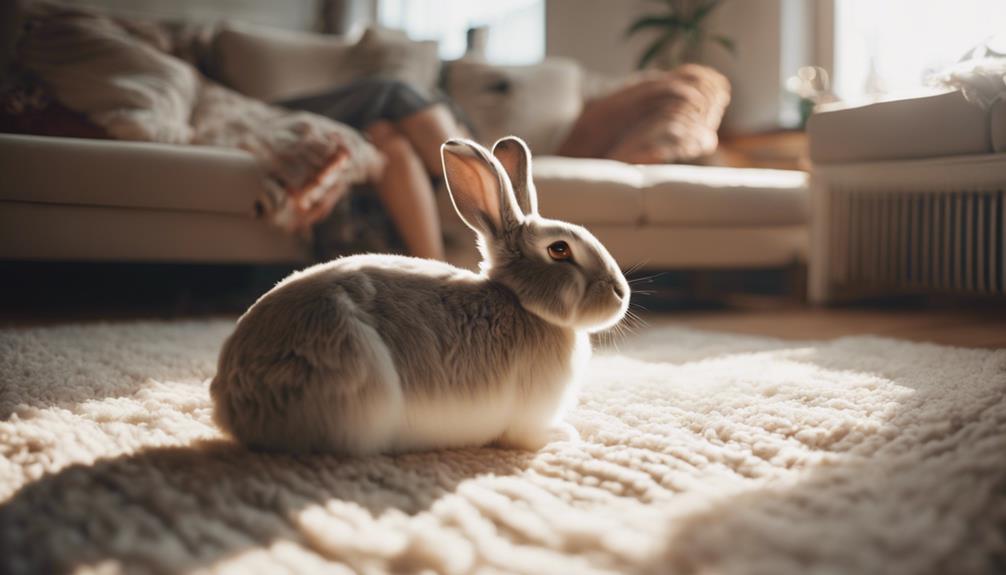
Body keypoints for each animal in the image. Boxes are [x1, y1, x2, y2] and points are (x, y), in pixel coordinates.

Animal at [210, 136, 630, 455]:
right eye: (559, 250)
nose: (621, 293)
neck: (523, 304)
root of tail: (231, 402)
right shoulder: (527, 417)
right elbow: (526, 438)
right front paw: (565, 436)